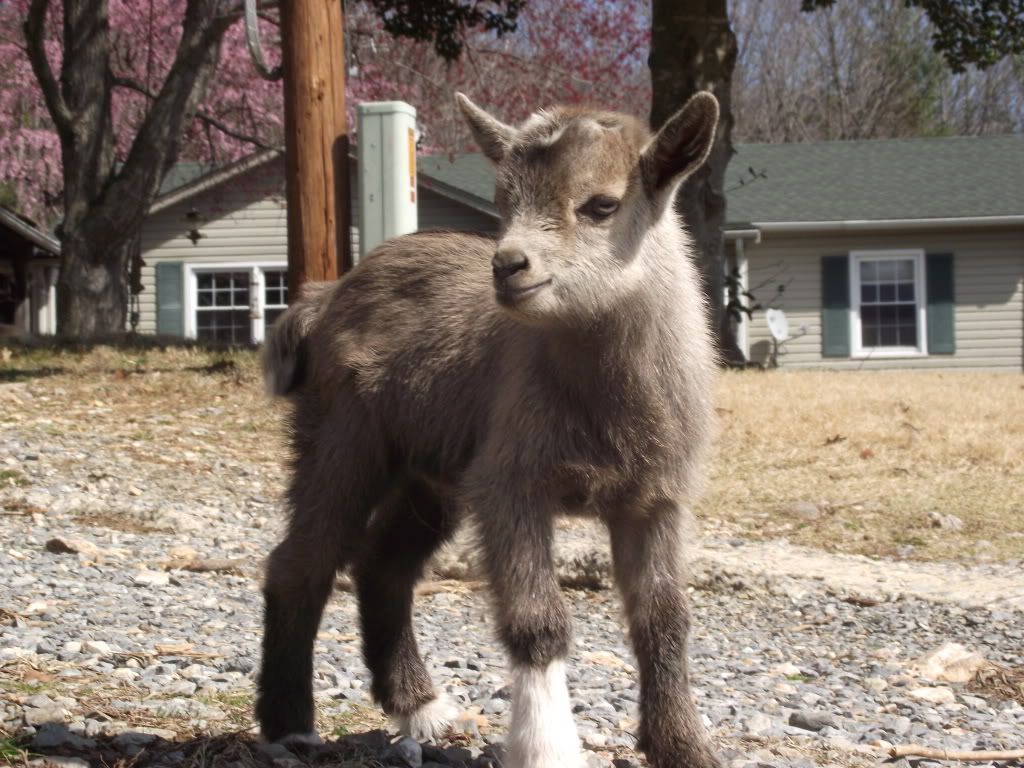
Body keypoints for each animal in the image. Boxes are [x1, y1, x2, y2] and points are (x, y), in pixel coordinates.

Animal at [256, 91, 721, 768]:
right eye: (503, 203)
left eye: (602, 205)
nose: (508, 266)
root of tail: (327, 293)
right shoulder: (511, 481)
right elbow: (538, 618)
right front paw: (548, 748)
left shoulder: (656, 500)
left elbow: (664, 618)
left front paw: (684, 747)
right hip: (343, 436)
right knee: (302, 560)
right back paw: (288, 726)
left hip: (430, 477)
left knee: (383, 565)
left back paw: (418, 706)